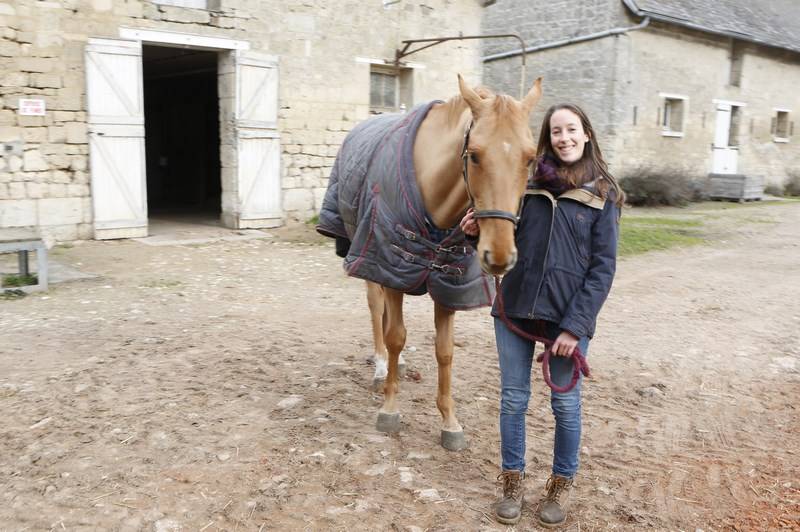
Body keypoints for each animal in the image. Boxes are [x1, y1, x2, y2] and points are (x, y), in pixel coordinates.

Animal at [318, 74, 544, 448]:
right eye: (475, 156)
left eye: (530, 158)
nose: (498, 255)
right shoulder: (389, 264)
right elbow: (396, 336)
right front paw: (390, 409)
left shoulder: (449, 287)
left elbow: (445, 351)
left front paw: (450, 422)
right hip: (371, 262)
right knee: (376, 309)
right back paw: (382, 367)